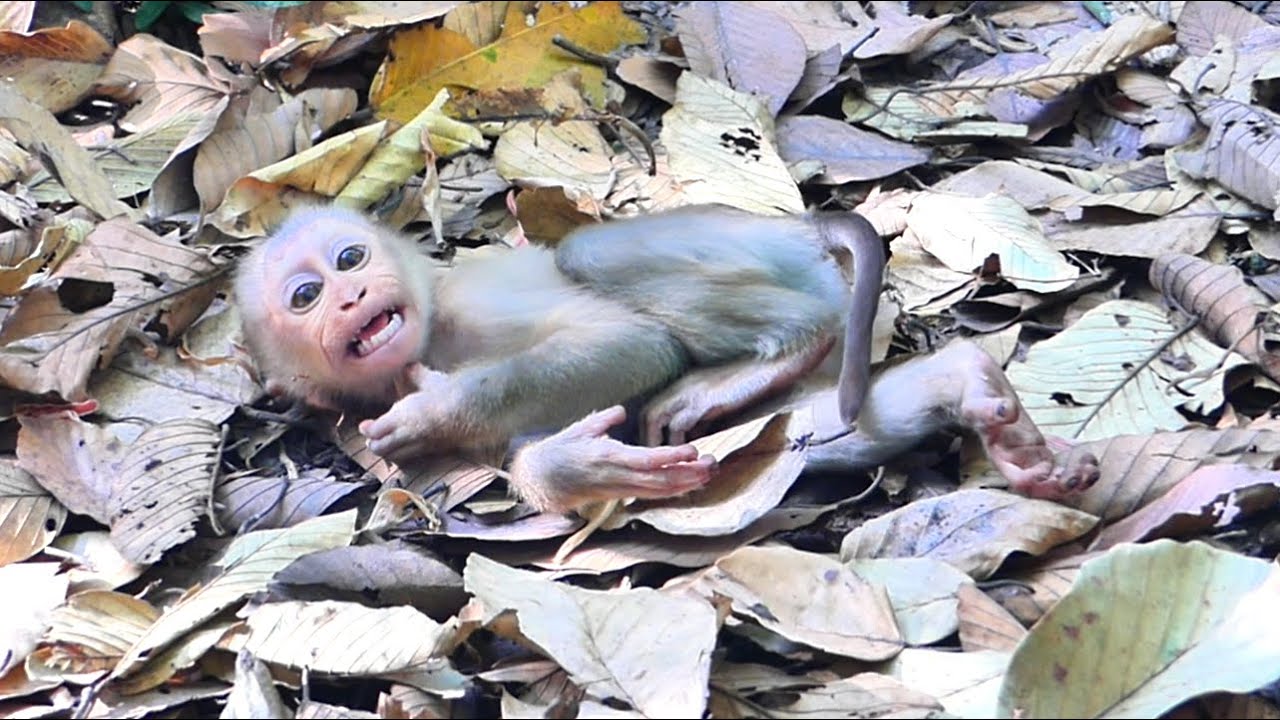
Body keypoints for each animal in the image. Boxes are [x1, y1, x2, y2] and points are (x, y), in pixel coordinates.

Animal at [233, 205, 1098, 515]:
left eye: (350, 257)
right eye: (306, 295)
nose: (351, 296)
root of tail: (789, 222)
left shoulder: (463, 313)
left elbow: (629, 345)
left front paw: (435, 411)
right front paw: (584, 468)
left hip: (736, 244)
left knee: (591, 256)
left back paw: (792, 341)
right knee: (801, 430)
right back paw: (985, 401)